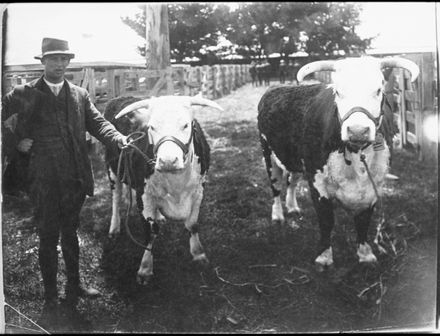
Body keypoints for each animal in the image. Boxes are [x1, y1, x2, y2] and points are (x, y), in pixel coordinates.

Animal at [105, 94, 223, 284]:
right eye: (152, 126)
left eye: (186, 125)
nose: (168, 161)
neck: (176, 185)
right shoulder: (144, 195)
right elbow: (150, 233)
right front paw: (145, 268)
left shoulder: (199, 191)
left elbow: (192, 224)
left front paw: (198, 254)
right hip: (112, 170)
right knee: (116, 199)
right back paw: (114, 228)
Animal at [258, 55, 420, 270]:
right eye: (338, 92)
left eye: (378, 90)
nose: (357, 130)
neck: (356, 155)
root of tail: (276, 88)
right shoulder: (316, 181)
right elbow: (326, 219)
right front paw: (324, 256)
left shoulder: (374, 184)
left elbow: (363, 220)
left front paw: (365, 254)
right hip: (268, 154)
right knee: (275, 186)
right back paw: (278, 215)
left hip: (295, 161)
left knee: (291, 182)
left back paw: (292, 207)